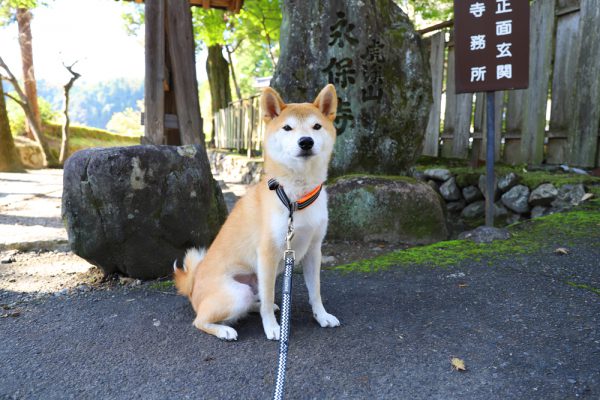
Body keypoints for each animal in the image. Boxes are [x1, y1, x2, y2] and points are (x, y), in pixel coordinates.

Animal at [175, 84, 342, 340]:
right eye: (287, 127)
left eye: (316, 126)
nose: (306, 141)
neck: (295, 198)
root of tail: (193, 286)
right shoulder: (267, 253)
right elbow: (270, 294)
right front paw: (273, 327)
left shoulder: (314, 249)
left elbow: (315, 291)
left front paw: (321, 316)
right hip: (238, 292)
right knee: (201, 320)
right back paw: (224, 330)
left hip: (253, 282)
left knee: (256, 299)